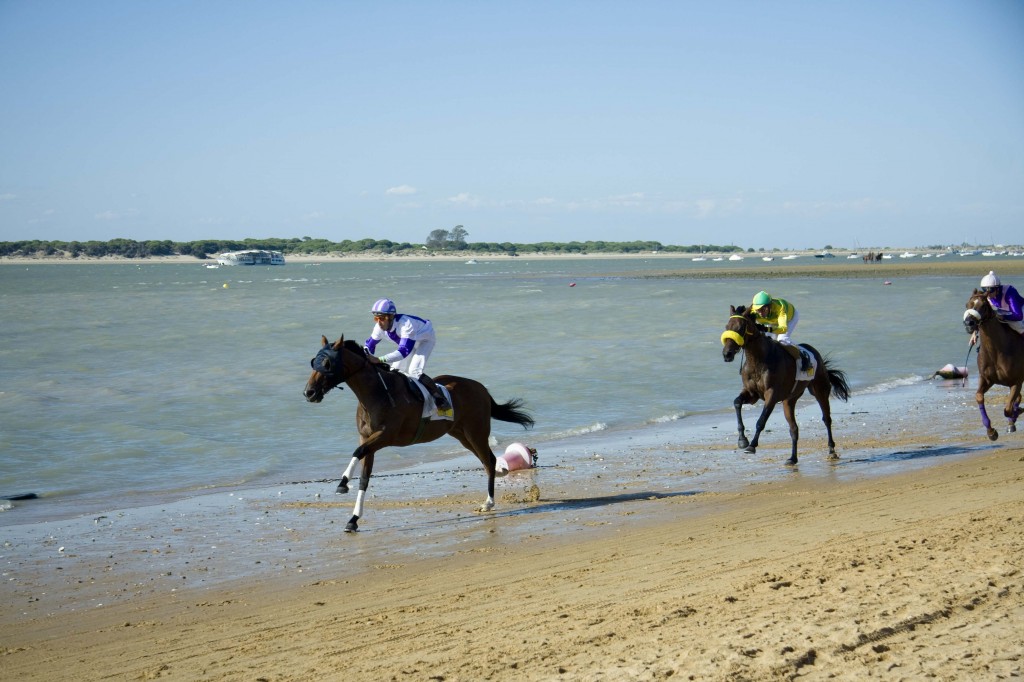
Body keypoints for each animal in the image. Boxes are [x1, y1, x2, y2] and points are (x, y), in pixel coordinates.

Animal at [301, 335, 536, 532]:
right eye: (314, 362)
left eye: (327, 364)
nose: (309, 392)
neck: (376, 394)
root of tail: (482, 389)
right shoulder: (368, 439)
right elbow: (364, 478)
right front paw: (353, 519)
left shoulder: (385, 436)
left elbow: (358, 451)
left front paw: (342, 483)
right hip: (461, 435)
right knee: (488, 460)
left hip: (476, 431)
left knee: (489, 461)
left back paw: (488, 502)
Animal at [716, 307, 851, 462]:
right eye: (727, 327)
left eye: (740, 328)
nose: (727, 354)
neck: (758, 360)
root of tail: (816, 354)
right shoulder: (752, 394)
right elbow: (737, 402)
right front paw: (742, 440)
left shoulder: (772, 394)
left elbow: (761, 421)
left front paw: (751, 446)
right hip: (789, 400)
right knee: (794, 428)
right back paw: (792, 458)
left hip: (820, 391)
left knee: (826, 419)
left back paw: (831, 449)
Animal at [962, 288, 1019, 438]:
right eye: (967, 304)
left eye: (983, 306)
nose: (969, 324)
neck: (996, 352)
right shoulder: (986, 379)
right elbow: (979, 397)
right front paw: (991, 431)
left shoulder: (1017, 381)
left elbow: (1008, 409)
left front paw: (1015, 416)